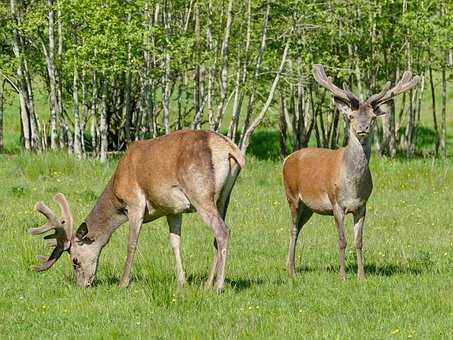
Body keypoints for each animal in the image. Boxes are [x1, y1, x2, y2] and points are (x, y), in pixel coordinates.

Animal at [28, 130, 244, 290]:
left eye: (75, 260)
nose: (81, 285)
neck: (116, 191)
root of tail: (231, 150)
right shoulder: (173, 210)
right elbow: (175, 243)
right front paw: (181, 282)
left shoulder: (134, 203)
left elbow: (131, 243)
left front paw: (123, 283)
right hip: (224, 197)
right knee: (217, 236)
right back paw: (207, 284)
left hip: (200, 192)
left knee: (223, 231)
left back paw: (219, 286)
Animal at [282, 63, 420, 278]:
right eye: (351, 116)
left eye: (372, 117)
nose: (363, 128)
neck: (353, 186)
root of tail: (286, 159)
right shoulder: (336, 203)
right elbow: (342, 240)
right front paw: (343, 276)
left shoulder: (362, 205)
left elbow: (359, 241)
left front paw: (361, 275)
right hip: (292, 195)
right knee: (293, 228)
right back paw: (291, 270)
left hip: (309, 207)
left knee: (299, 228)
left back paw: (291, 266)